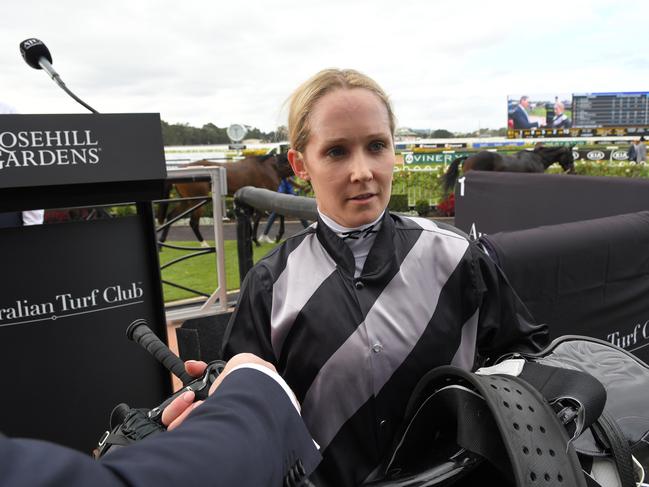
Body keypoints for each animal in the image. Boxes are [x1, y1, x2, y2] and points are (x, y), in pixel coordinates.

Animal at [156, 153, 292, 246]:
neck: (271, 167)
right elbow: (264, 216)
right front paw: (271, 237)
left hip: (187, 200)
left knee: (171, 216)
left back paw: (161, 242)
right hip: (197, 201)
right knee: (193, 222)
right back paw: (204, 244)